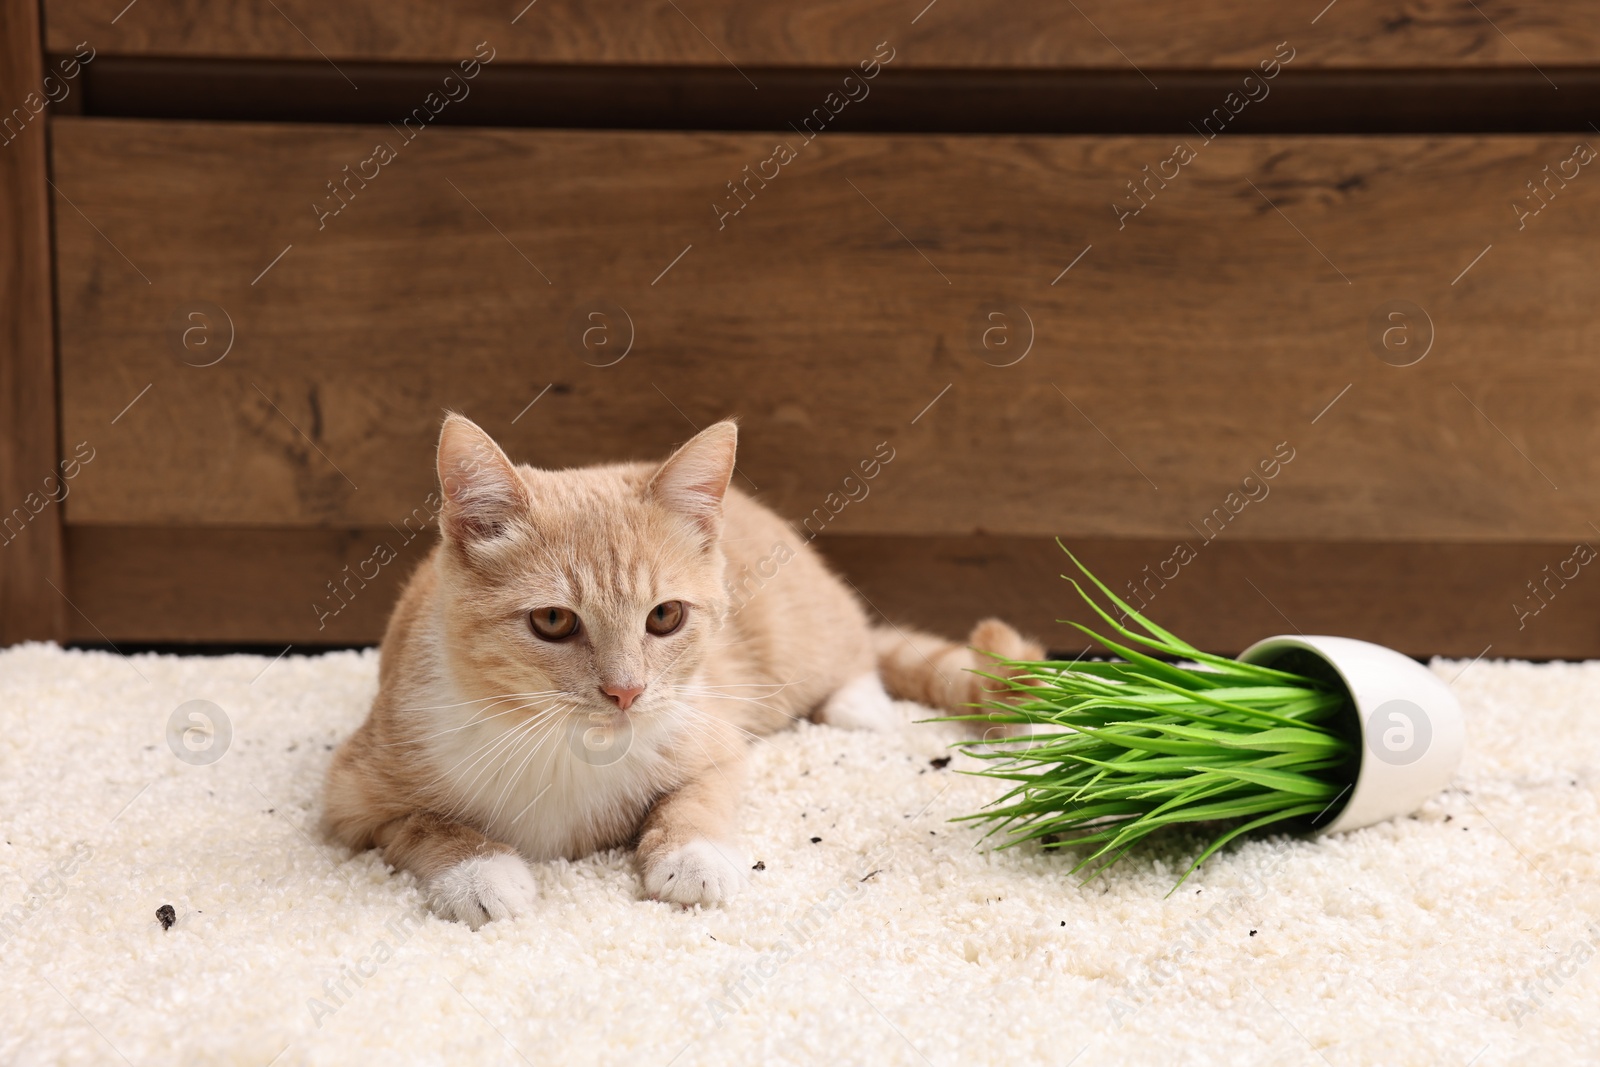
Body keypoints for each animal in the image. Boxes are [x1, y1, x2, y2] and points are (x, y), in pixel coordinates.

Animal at [323, 415, 1043, 927]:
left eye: (665, 616)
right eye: (553, 621)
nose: (626, 690)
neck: (564, 747)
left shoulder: (710, 733)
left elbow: (699, 795)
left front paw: (691, 855)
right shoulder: (351, 792)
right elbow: (420, 823)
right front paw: (479, 872)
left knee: (855, 651)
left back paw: (858, 704)